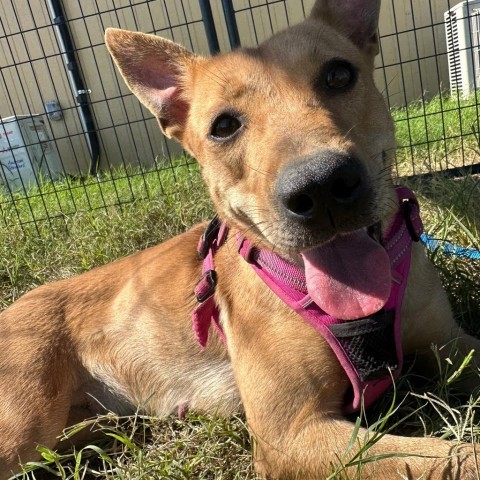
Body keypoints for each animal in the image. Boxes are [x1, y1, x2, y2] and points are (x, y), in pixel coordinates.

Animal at [0, 0, 480, 480]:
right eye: (224, 125)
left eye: (339, 75)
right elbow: (450, 458)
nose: (321, 186)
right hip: (25, 425)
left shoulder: (452, 342)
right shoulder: (290, 433)